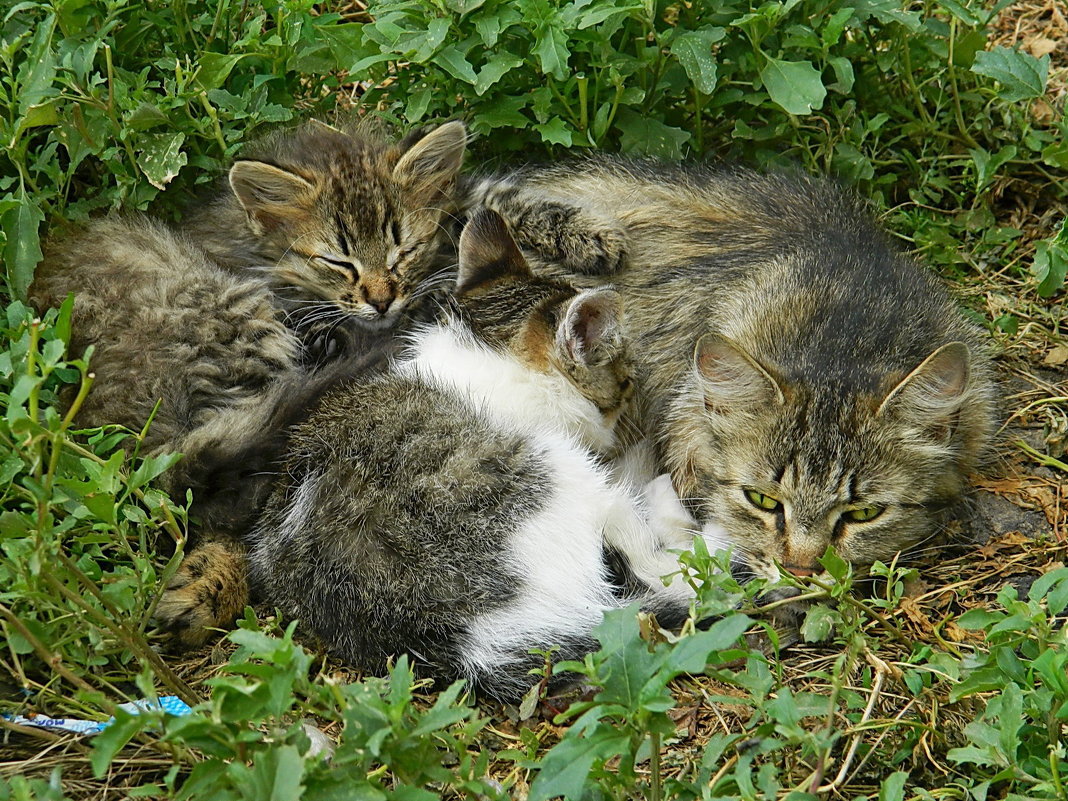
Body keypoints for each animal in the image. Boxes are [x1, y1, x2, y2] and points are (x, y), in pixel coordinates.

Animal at [244, 210, 726, 700]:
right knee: (668, 567)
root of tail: (467, 640)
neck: (482, 366)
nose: (629, 405)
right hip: (559, 474)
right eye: (625, 381)